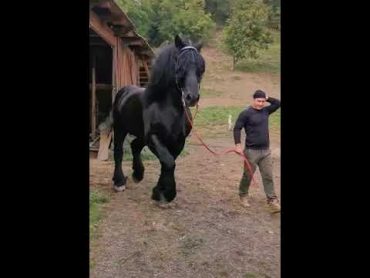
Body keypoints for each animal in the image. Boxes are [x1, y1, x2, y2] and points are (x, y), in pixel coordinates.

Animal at [111, 35, 207, 204]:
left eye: (201, 68)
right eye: (180, 66)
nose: (192, 97)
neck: (168, 108)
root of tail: (124, 91)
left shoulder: (178, 140)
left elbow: (168, 162)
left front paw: (159, 192)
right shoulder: (154, 137)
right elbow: (168, 162)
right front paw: (166, 194)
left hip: (141, 135)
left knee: (135, 146)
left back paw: (138, 174)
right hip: (120, 129)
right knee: (119, 152)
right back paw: (119, 182)